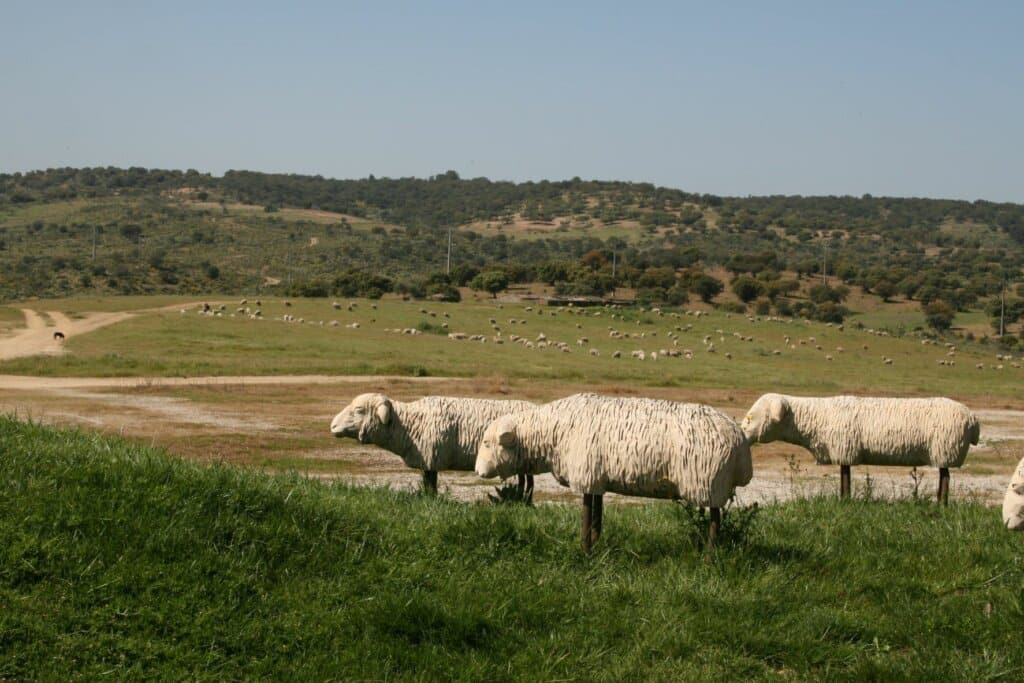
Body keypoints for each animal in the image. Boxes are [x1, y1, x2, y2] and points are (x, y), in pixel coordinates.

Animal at [331, 395, 536, 497]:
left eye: (359, 410)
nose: (332, 426)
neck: (408, 424)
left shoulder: (431, 457)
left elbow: (431, 484)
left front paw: (431, 500)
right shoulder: (426, 459)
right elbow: (427, 482)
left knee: (528, 481)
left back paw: (523, 500)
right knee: (525, 479)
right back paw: (520, 498)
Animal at [477, 393, 753, 552]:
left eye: (488, 444)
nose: (478, 471)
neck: (552, 431)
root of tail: (740, 443)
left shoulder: (587, 474)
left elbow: (587, 516)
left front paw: (585, 551)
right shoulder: (597, 478)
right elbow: (596, 515)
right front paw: (596, 544)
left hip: (709, 481)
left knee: (715, 519)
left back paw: (709, 557)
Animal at [741, 395, 978, 501]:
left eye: (751, 417)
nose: (741, 433)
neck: (813, 419)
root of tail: (972, 418)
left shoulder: (845, 451)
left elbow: (845, 482)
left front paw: (845, 502)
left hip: (945, 451)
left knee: (945, 477)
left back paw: (941, 505)